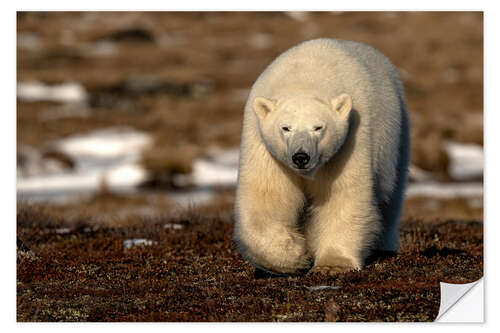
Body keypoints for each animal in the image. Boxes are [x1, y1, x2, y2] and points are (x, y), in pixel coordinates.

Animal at [232, 37, 408, 274]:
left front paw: (332, 264)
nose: (301, 157)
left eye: (318, 127)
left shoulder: (349, 142)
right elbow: (267, 197)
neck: (304, 80)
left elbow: (343, 196)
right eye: (285, 128)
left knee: (391, 199)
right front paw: (295, 255)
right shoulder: (263, 146)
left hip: (397, 139)